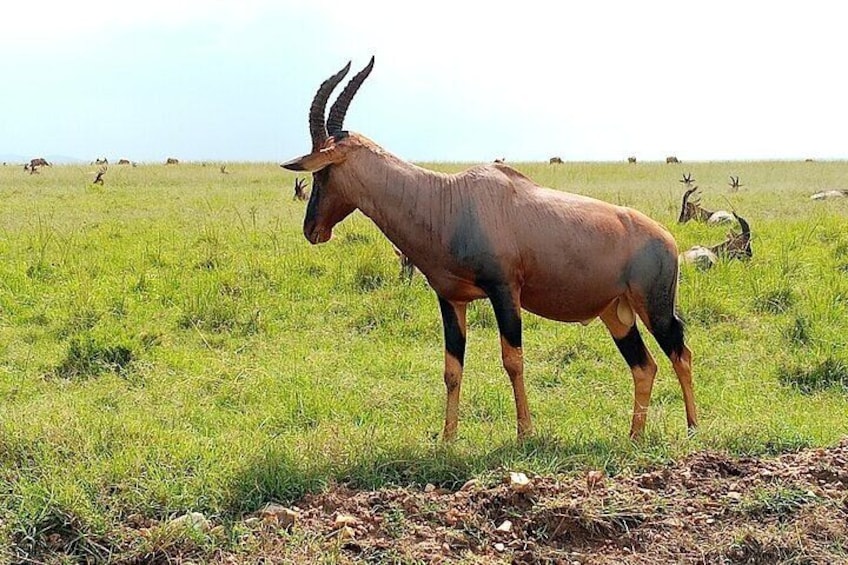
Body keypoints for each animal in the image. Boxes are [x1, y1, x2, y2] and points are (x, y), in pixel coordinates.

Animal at [280, 58, 697, 441]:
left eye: (323, 170)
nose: (312, 230)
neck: (449, 198)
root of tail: (667, 239)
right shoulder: (451, 299)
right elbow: (452, 368)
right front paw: (447, 439)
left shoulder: (504, 292)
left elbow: (513, 360)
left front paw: (525, 433)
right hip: (617, 314)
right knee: (644, 366)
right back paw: (634, 436)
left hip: (654, 308)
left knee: (680, 353)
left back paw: (692, 429)